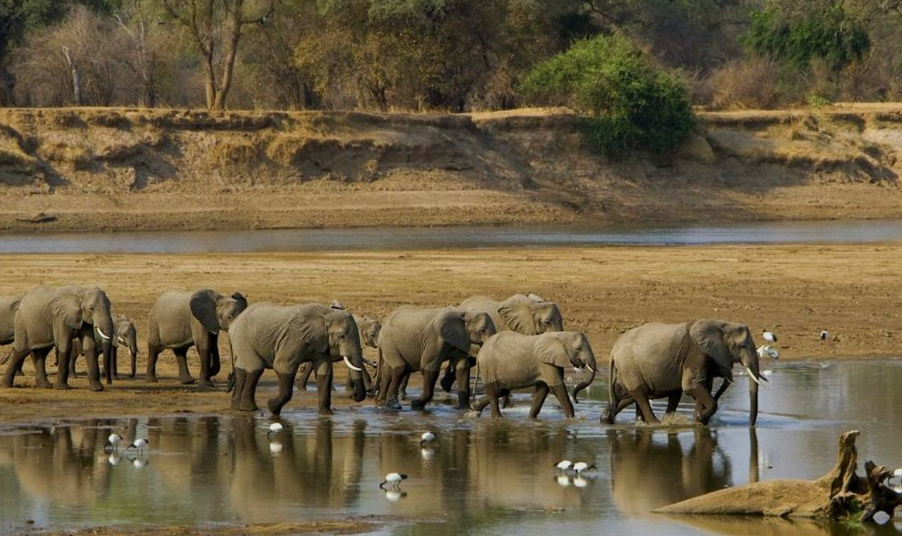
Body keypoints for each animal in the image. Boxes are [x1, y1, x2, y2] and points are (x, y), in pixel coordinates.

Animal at [227, 302, 367, 416]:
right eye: (342, 336)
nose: (354, 395)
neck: (326, 314)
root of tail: (234, 323)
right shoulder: (294, 338)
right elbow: (282, 366)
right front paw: (271, 407)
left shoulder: (321, 342)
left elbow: (324, 371)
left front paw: (327, 415)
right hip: (243, 337)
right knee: (255, 368)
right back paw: (250, 409)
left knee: (242, 368)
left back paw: (237, 407)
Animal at [601, 319, 764, 426]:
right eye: (742, 346)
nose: (751, 425)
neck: (722, 325)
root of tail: (614, 349)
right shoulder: (697, 353)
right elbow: (691, 386)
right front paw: (700, 418)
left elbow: (703, 387)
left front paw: (698, 420)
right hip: (629, 366)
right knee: (639, 394)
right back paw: (656, 423)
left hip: (626, 369)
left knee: (626, 395)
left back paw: (607, 420)